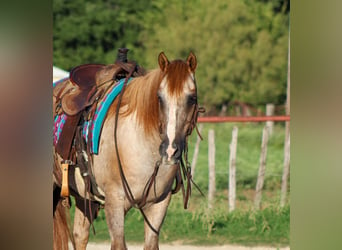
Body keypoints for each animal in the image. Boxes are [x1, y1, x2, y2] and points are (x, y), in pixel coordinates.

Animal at [52, 51, 200, 250]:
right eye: (159, 98)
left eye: (192, 98)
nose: (170, 150)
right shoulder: (115, 203)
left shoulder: (159, 205)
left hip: (85, 198)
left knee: (80, 236)